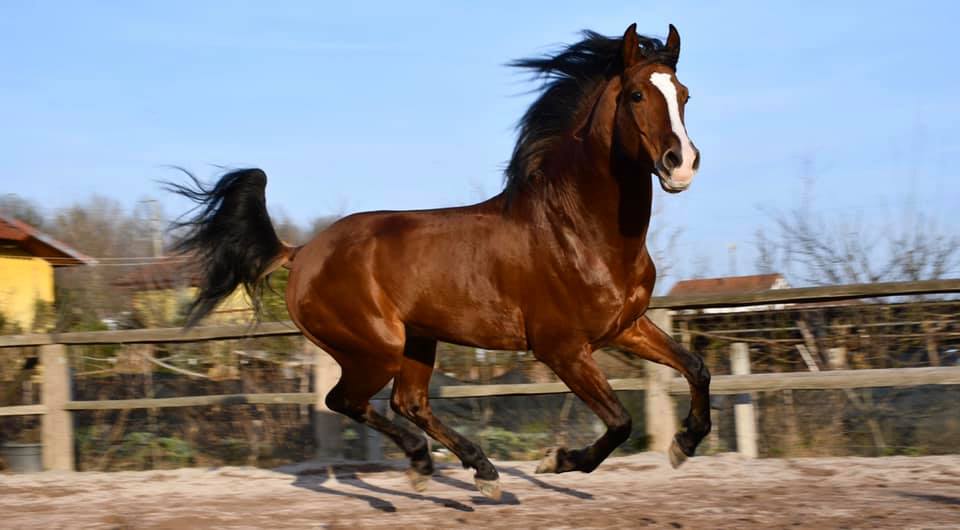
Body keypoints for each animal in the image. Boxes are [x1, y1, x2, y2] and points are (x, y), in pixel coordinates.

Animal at [171, 21, 712, 500]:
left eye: (684, 95)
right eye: (637, 96)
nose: (681, 165)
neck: (578, 231)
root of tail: (301, 252)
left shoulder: (626, 327)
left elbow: (696, 367)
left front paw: (684, 444)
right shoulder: (562, 349)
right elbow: (620, 421)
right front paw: (556, 461)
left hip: (417, 341)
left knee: (407, 402)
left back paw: (480, 473)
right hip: (377, 348)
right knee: (347, 400)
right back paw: (428, 465)